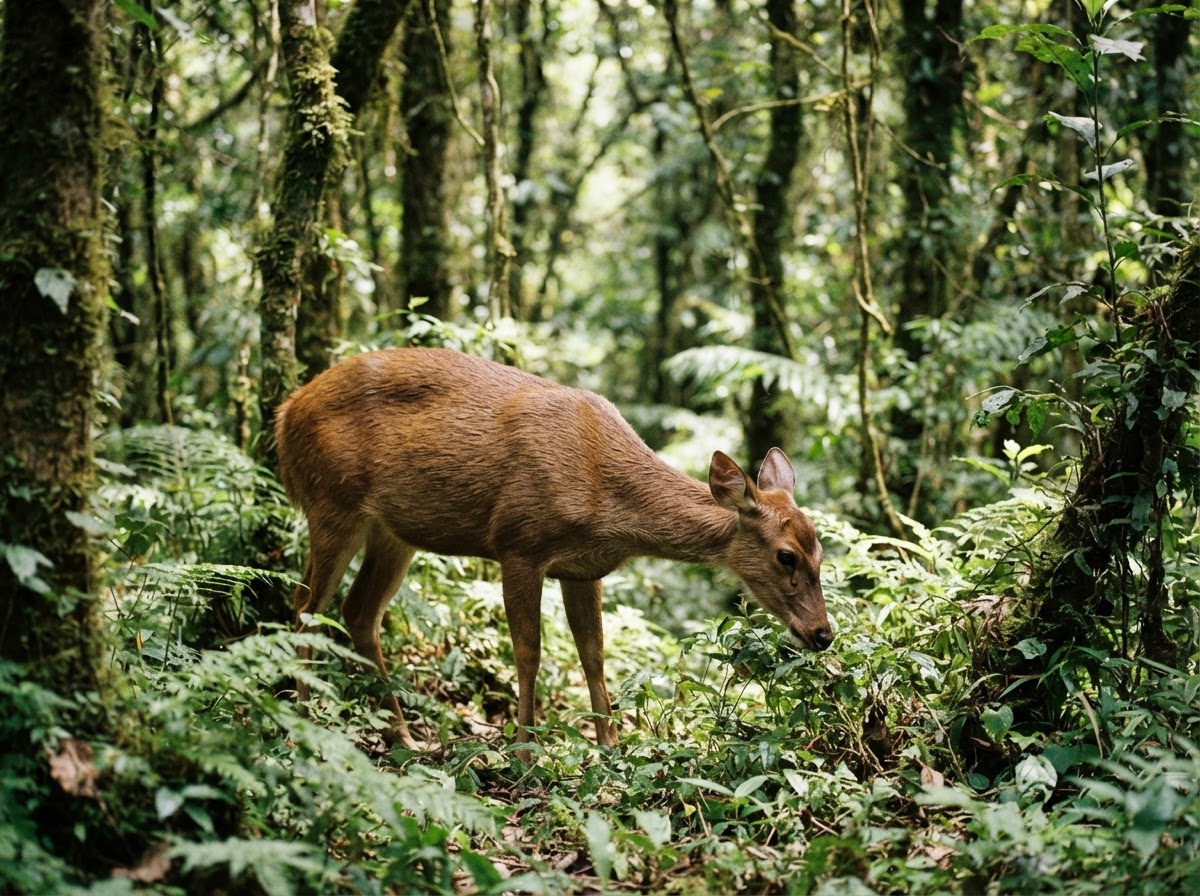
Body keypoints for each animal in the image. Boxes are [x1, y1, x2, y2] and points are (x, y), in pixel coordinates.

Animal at [274, 347, 832, 751]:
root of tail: (283, 414)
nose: (822, 634)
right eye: (786, 555)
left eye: (821, 552)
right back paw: (302, 720)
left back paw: (405, 737)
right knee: (305, 606)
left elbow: (594, 656)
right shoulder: (519, 541)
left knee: (358, 611)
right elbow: (529, 651)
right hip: (331, 502)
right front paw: (525, 749)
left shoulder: (583, 568)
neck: (605, 494)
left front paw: (610, 748)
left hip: (392, 531)